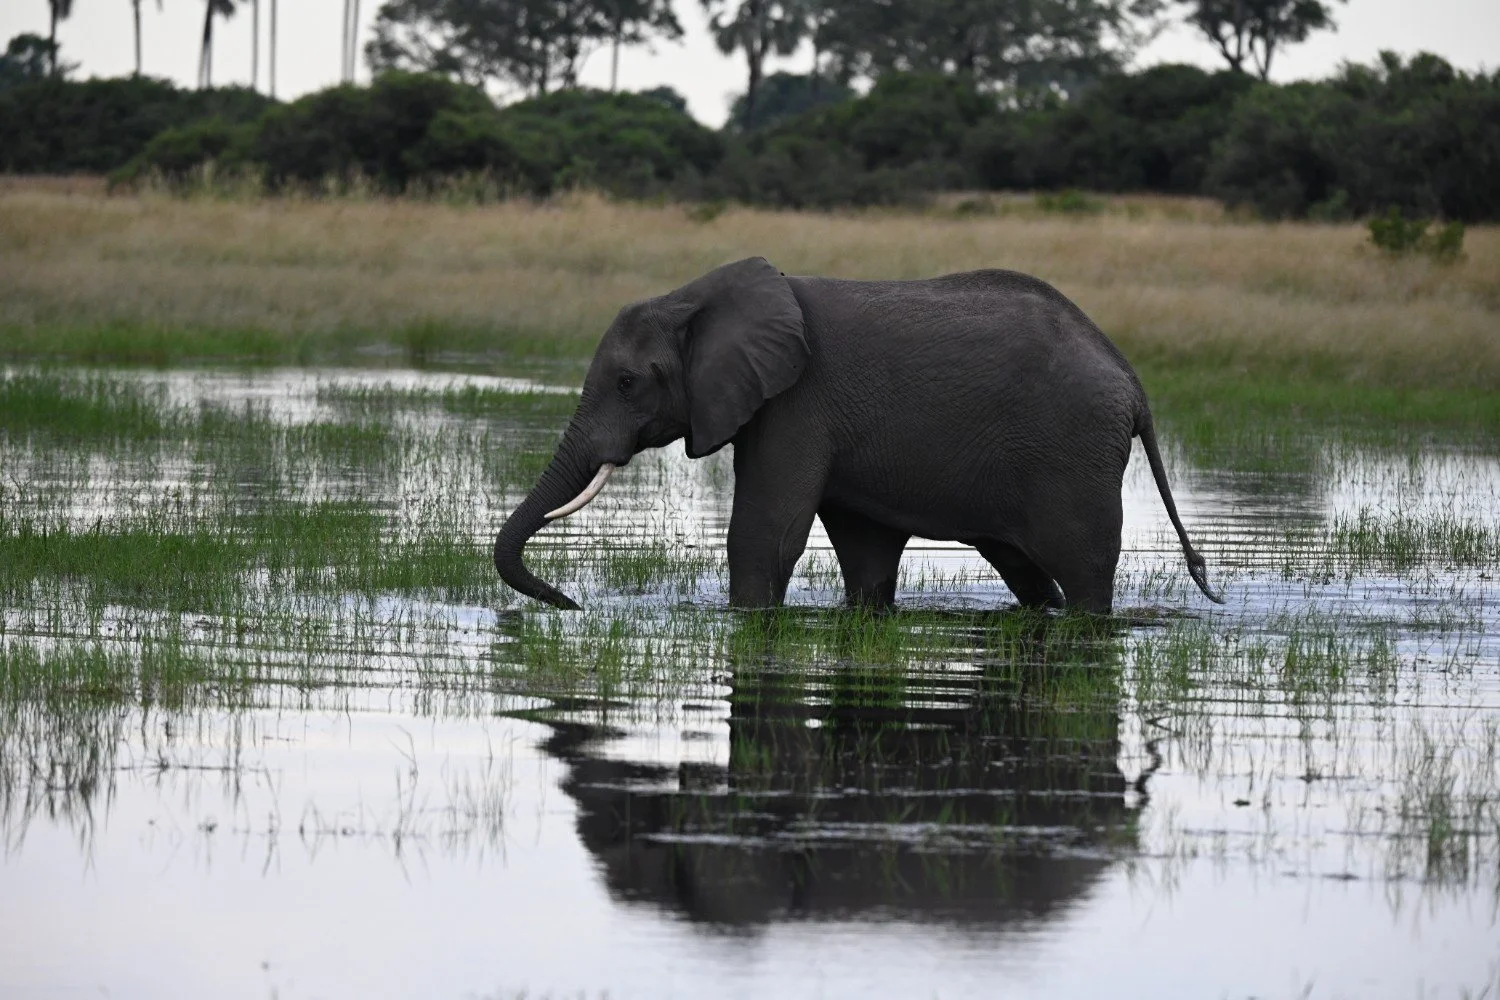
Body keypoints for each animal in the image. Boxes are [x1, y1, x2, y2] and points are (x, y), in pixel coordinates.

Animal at [493, 256, 1224, 614]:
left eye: (625, 383)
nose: (571, 605)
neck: (696, 296)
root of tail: (1131, 381)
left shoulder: (794, 402)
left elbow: (765, 535)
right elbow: (865, 553)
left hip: (1073, 454)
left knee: (1082, 571)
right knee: (1026, 570)